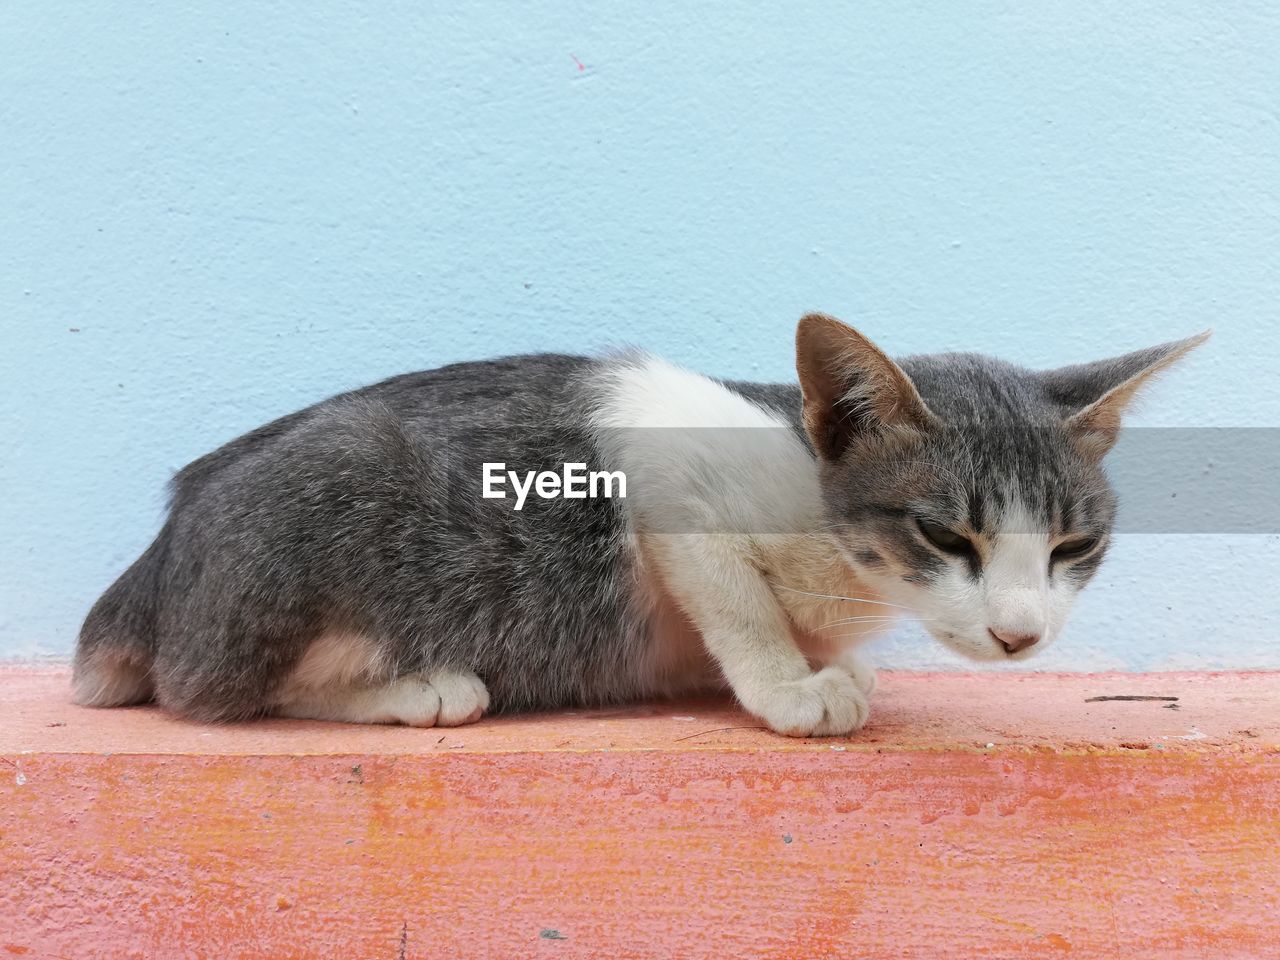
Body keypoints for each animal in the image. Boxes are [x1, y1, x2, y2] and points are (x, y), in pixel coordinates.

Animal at [72, 316, 1208, 737]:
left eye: (1071, 547)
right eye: (947, 538)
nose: (1019, 633)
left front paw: (822, 665)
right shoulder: (666, 477)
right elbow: (737, 605)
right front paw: (791, 685)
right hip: (329, 497)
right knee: (215, 692)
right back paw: (419, 686)